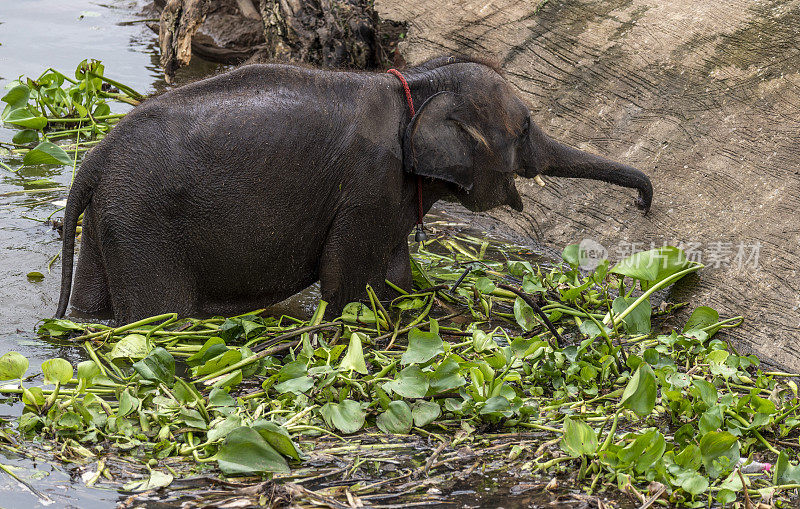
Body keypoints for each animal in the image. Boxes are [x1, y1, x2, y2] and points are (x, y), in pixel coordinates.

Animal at [56, 54, 652, 322]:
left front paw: (422, 302)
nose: (645, 203)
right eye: (525, 128)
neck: (418, 84)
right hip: (146, 224)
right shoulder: (369, 184)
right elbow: (347, 285)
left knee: (92, 301)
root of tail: (95, 158)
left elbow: (394, 274)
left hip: (114, 220)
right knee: (161, 316)